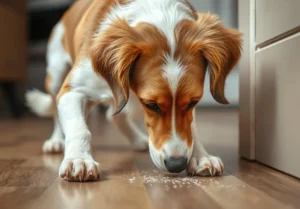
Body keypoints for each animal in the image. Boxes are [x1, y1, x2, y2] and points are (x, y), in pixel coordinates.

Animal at [25, 0, 241, 181]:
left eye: (193, 102)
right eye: (151, 105)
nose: (176, 164)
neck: (161, 14)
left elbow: (191, 129)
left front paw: (201, 156)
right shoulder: (73, 90)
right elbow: (79, 128)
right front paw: (79, 159)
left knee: (115, 115)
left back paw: (138, 139)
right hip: (56, 75)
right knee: (57, 112)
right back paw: (56, 141)